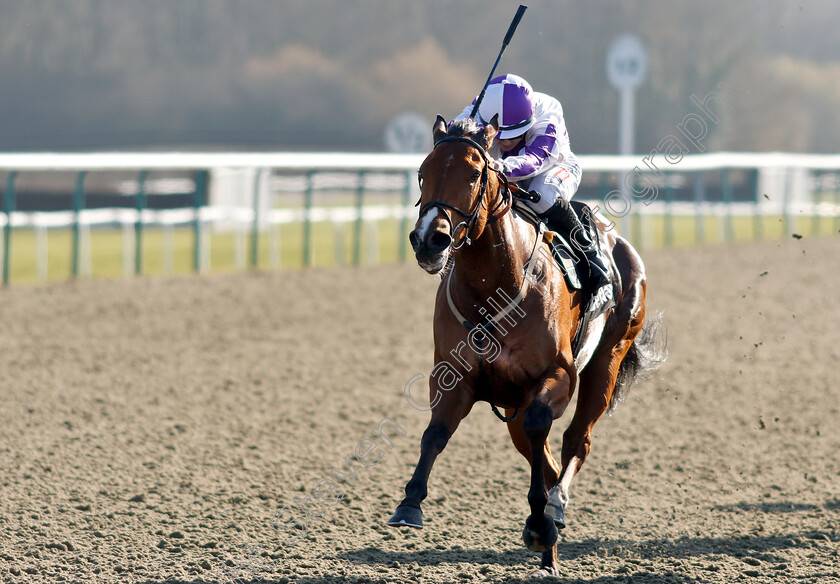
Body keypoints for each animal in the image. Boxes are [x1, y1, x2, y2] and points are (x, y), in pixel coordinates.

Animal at [384, 114, 668, 576]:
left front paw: (539, 520)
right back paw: (549, 554)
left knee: (575, 443)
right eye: (423, 172)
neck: (495, 286)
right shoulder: (454, 375)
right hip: (514, 406)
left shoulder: (556, 377)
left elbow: (542, 429)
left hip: (606, 363)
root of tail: (619, 242)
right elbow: (436, 432)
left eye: (474, 173)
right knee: (546, 460)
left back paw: (554, 512)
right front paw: (409, 504)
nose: (429, 240)